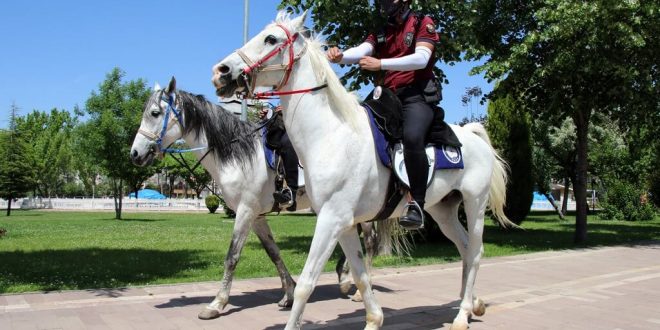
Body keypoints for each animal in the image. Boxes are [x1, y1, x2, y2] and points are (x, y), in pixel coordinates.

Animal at [214, 10, 512, 330]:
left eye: (271, 39)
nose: (220, 71)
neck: (332, 135)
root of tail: (473, 135)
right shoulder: (342, 222)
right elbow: (360, 273)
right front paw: (373, 318)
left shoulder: (331, 219)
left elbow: (307, 283)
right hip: (443, 209)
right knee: (466, 249)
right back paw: (473, 305)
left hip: (475, 204)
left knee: (476, 251)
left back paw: (461, 314)